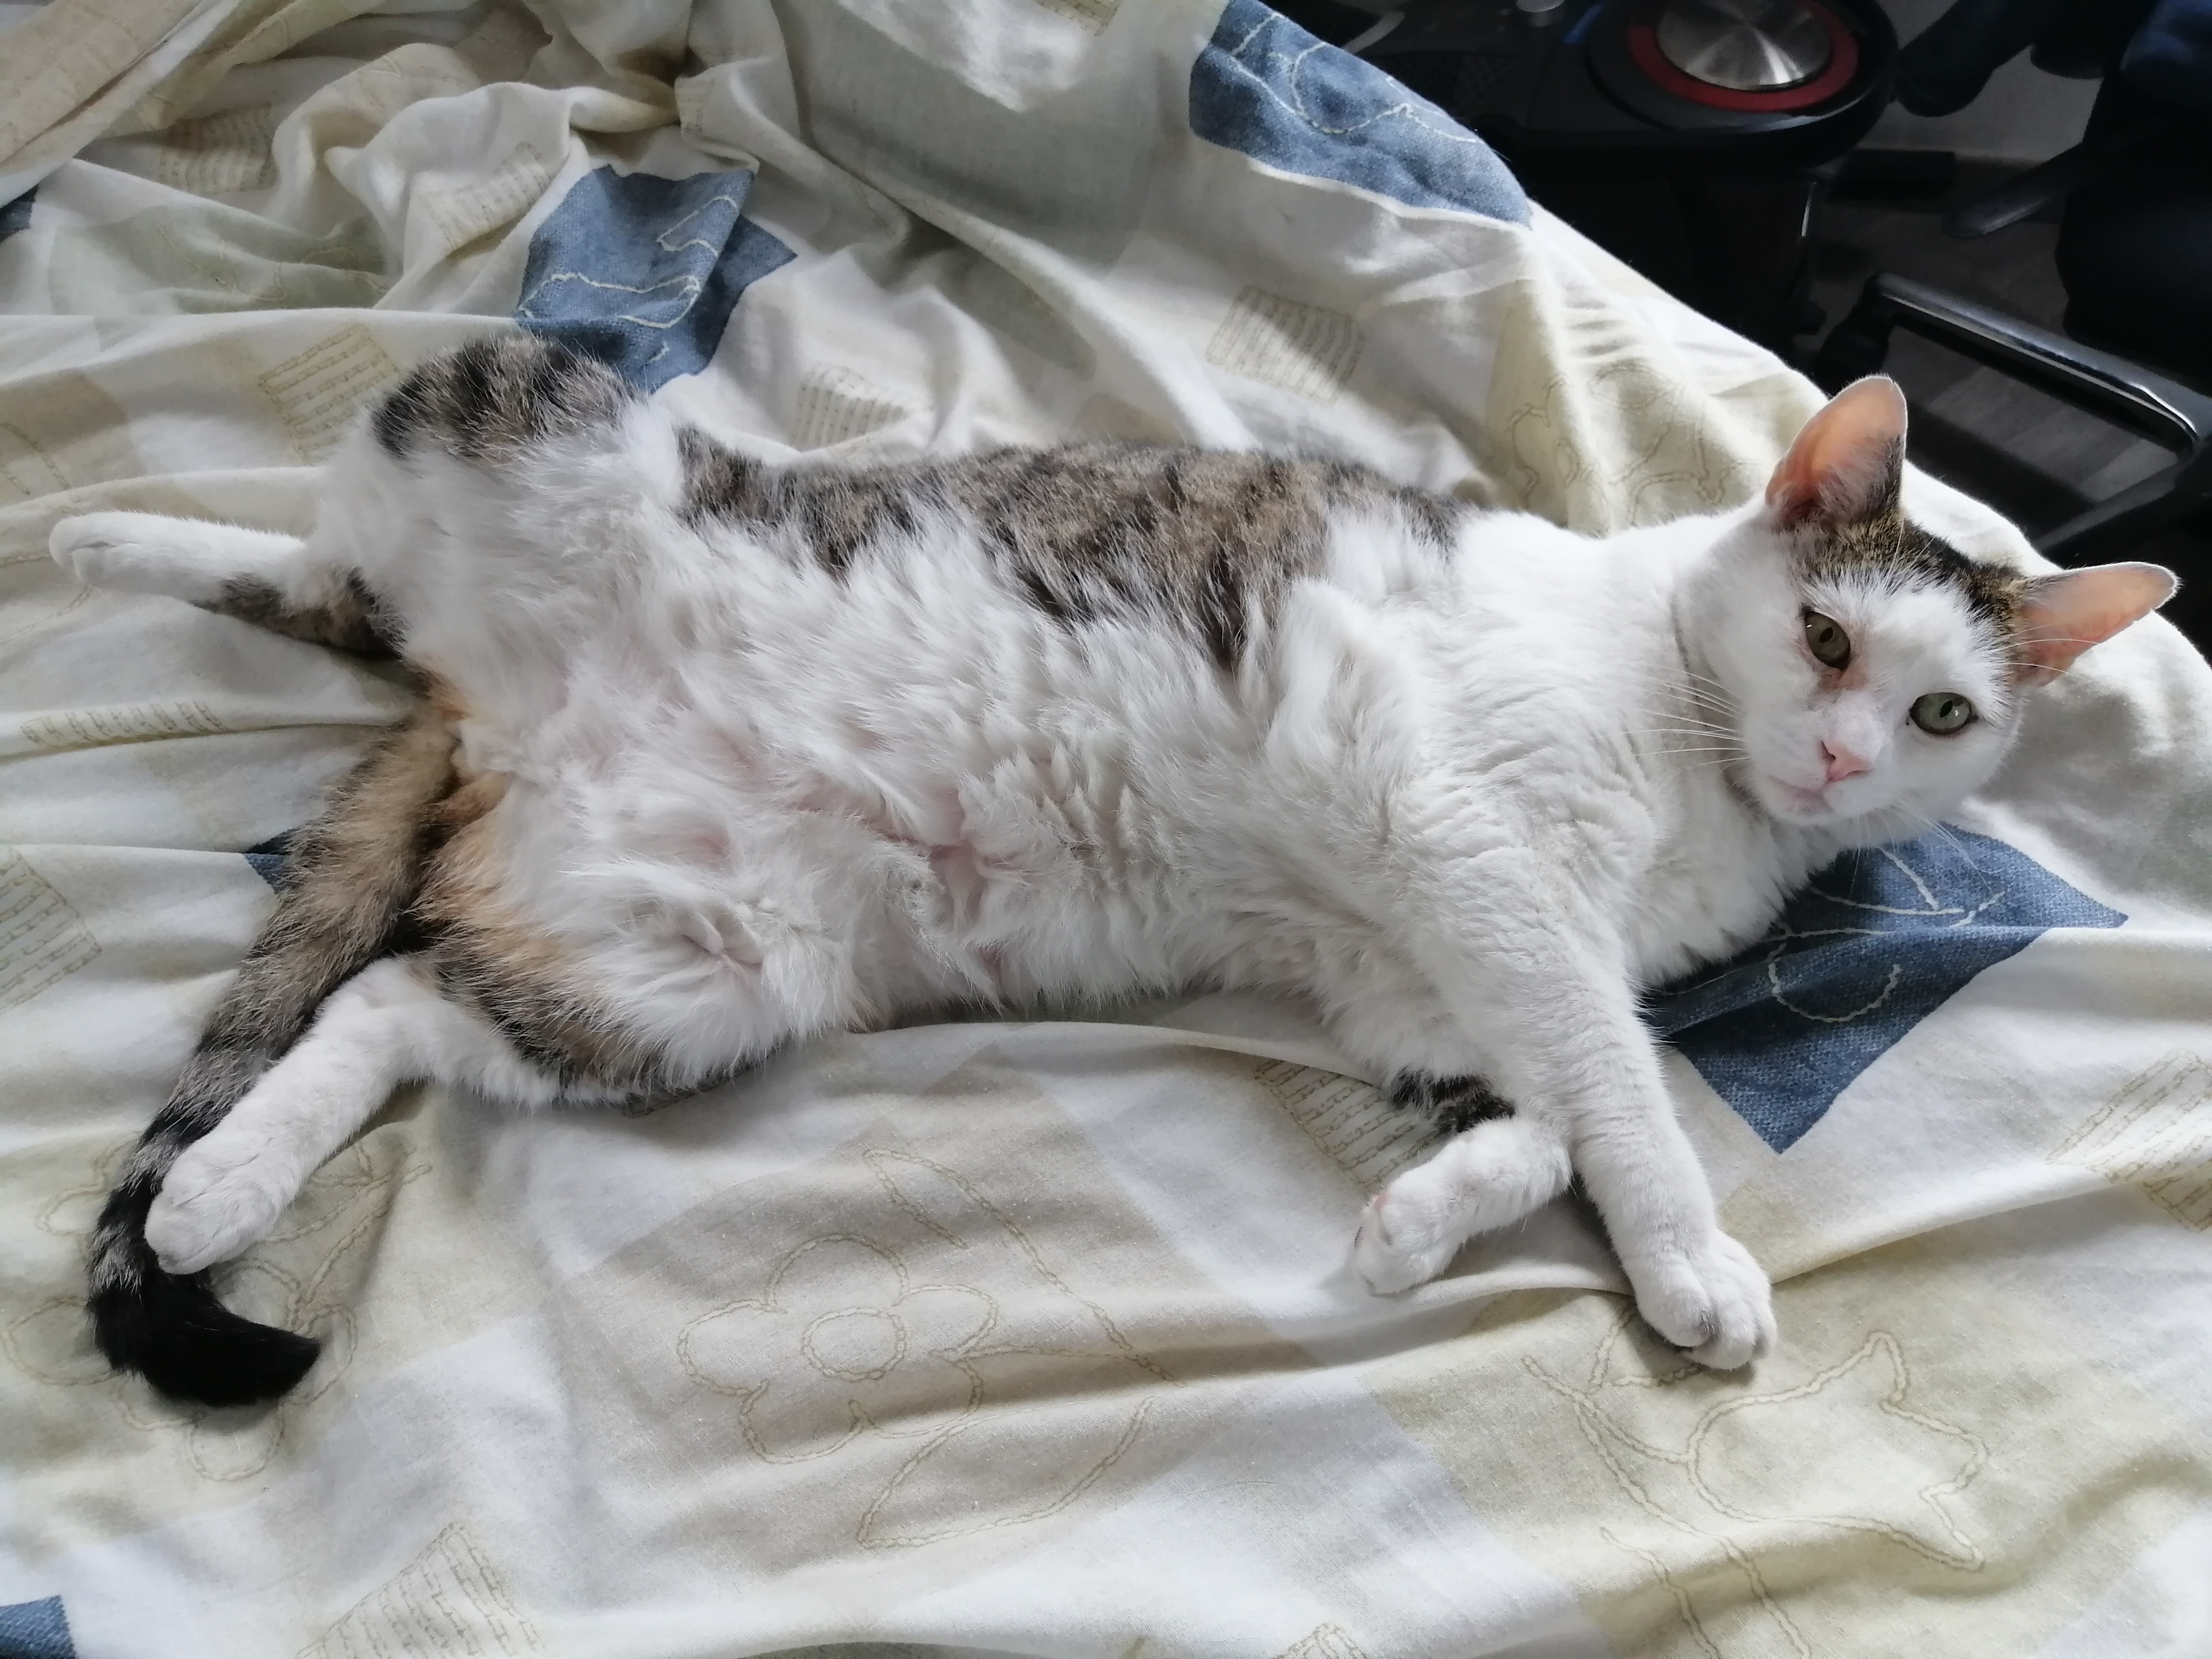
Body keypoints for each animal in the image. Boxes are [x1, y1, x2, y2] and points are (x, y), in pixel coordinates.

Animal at [48, 335, 2174, 1408]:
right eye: (1823, 640)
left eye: (1943, 713)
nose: (1839, 756)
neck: (1702, 796)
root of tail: (491, 705)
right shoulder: (1479, 852)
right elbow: (1625, 1097)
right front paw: (1690, 1262)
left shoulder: (1422, 976)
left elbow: (1549, 1110)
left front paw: (1418, 1222)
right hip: (522, 407)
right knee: (325, 558)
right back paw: (114, 530)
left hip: (683, 968)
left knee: (392, 993)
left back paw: (221, 1188)